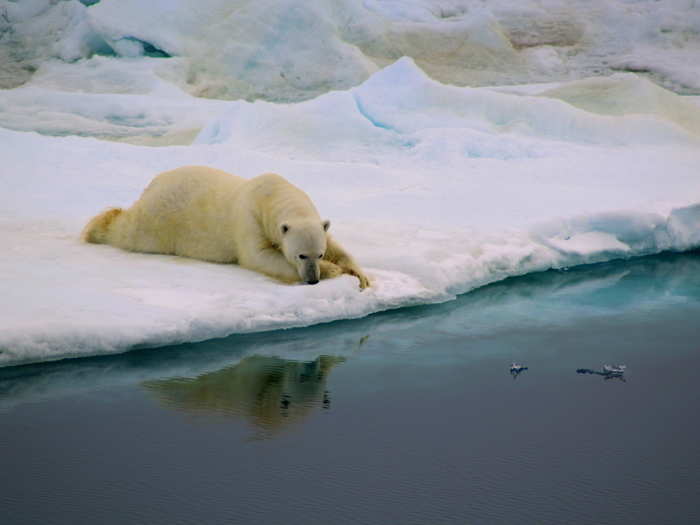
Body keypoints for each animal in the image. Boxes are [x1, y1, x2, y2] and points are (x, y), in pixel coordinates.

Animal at [82, 166, 372, 288]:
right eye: (301, 255)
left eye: (318, 253)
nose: (312, 279)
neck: (271, 195)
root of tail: (153, 184)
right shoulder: (249, 218)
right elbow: (259, 256)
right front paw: (334, 270)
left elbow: (336, 244)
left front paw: (361, 275)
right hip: (160, 219)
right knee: (129, 230)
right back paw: (96, 228)